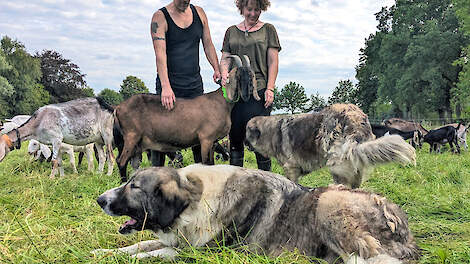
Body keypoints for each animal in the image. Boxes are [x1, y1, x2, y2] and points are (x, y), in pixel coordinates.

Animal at [93, 164, 420, 262]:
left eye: (133, 187)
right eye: (127, 181)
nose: (100, 199)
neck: (196, 201)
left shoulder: (205, 252)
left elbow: (157, 252)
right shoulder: (177, 238)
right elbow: (141, 243)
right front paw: (104, 252)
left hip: (329, 201)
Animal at [114, 53, 260, 182]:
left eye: (252, 75)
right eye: (240, 75)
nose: (249, 92)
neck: (222, 102)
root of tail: (118, 108)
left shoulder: (213, 142)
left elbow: (212, 164)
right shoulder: (205, 139)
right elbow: (206, 163)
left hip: (138, 143)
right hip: (131, 136)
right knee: (121, 161)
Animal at [244, 103, 416, 188]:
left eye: (246, 133)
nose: (244, 143)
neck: (272, 131)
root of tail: (354, 118)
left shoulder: (290, 167)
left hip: (335, 162)